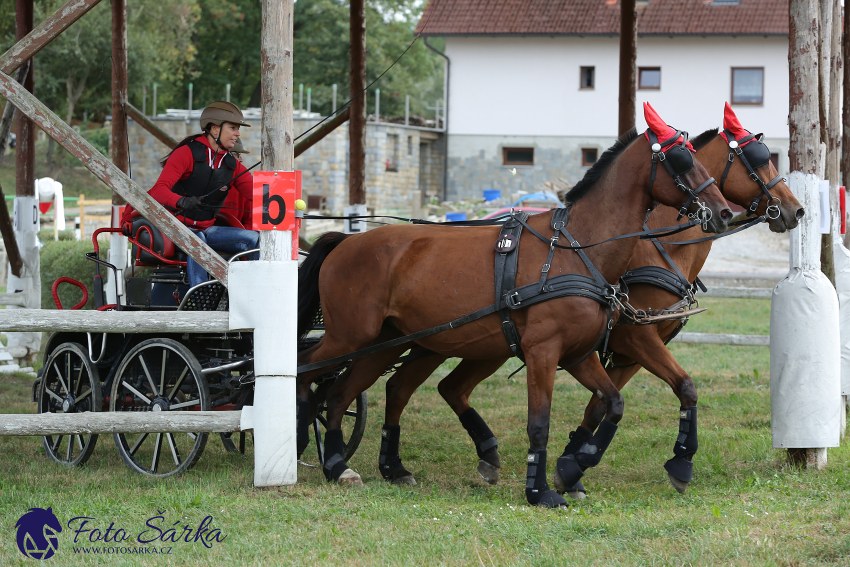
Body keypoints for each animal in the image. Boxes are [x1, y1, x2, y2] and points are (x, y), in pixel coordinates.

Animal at [296, 103, 728, 510]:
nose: (722, 211)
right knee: (305, 374)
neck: (576, 250)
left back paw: (349, 465)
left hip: (389, 342)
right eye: (681, 159)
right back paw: (305, 443)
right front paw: (541, 490)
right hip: (350, 336)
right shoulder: (544, 352)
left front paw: (575, 466)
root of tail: (346, 240)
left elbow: (613, 403)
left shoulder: (580, 354)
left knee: (346, 392)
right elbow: (539, 423)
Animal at [372, 103, 800, 496]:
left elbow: (610, 401)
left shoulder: (625, 350)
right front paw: (582, 465)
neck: (656, 247)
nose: (795, 210)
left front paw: (572, 462)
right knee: (415, 386)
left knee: (435, 388)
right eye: (756, 160)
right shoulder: (633, 338)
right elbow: (666, 389)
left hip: (461, 343)